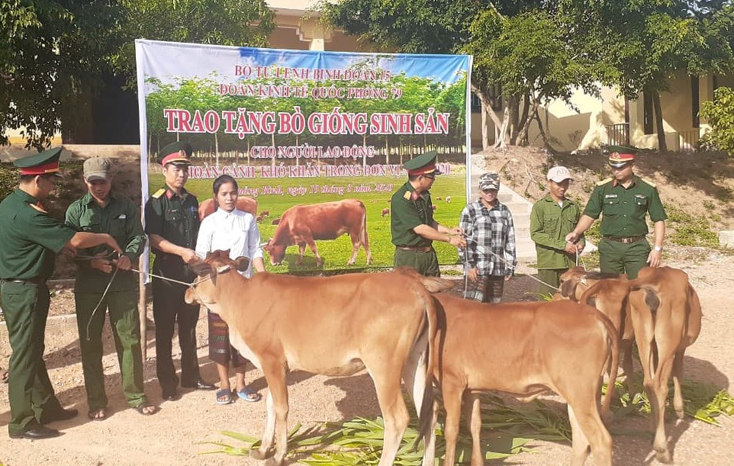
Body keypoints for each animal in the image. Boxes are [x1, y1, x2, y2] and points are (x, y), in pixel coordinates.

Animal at [185, 253, 454, 466]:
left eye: (199, 271)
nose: (188, 291)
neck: (240, 301)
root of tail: (415, 286)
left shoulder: (271, 360)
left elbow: (281, 407)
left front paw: (279, 455)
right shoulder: (275, 366)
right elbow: (271, 405)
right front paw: (262, 450)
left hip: (384, 366)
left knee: (397, 418)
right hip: (414, 361)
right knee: (429, 411)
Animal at [422, 294, 620, 466]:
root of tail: (595, 314)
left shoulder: (451, 382)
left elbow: (451, 430)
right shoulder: (472, 389)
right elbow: (475, 425)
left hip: (579, 392)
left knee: (601, 441)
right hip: (583, 394)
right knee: (581, 441)